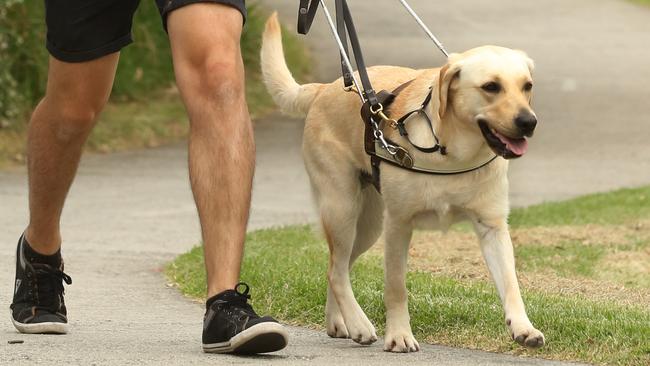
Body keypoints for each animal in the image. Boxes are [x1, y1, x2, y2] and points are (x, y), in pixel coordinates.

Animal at [262, 13, 540, 352]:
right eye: (491, 87)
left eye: (526, 86)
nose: (529, 122)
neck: (451, 152)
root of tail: (324, 88)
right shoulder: (398, 225)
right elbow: (396, 288)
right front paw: (399, 335)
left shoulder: (493, 227)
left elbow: (511, 285)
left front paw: (523, 327)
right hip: (342, 209)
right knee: (337, 269)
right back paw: (359, 324)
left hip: (367, 226)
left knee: (335, 266)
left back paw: (339, 322)